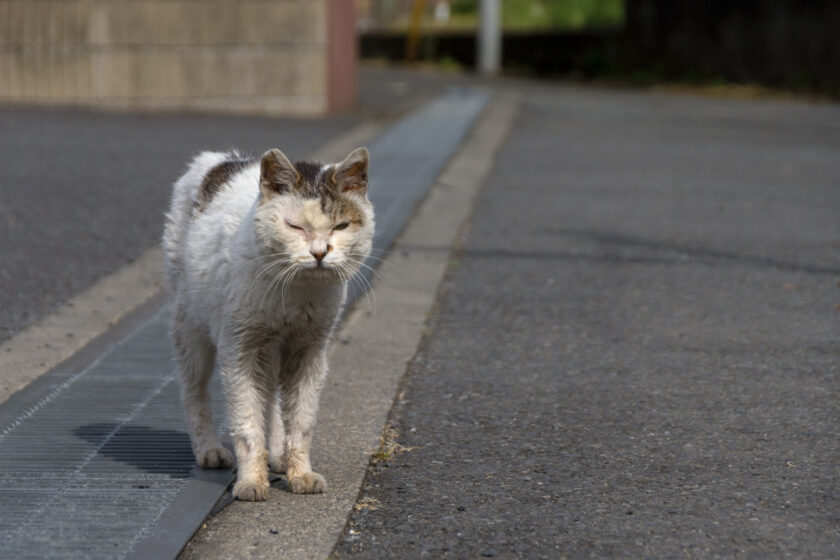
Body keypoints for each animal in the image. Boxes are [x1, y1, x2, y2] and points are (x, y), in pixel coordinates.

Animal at [162, 147, 372, 500]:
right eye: (295, 227)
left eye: (341, 226)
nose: (319, 253)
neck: (296, 291)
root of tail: (218, 157)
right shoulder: (239, 350)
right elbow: (247, 423)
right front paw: (251, 482)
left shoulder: (310, 350)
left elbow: (301, 421)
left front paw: (300, 474)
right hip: (190, 331)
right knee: (194, 392)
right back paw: (209, 450)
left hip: (272, 351)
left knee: (271, 398)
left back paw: (277, 456)